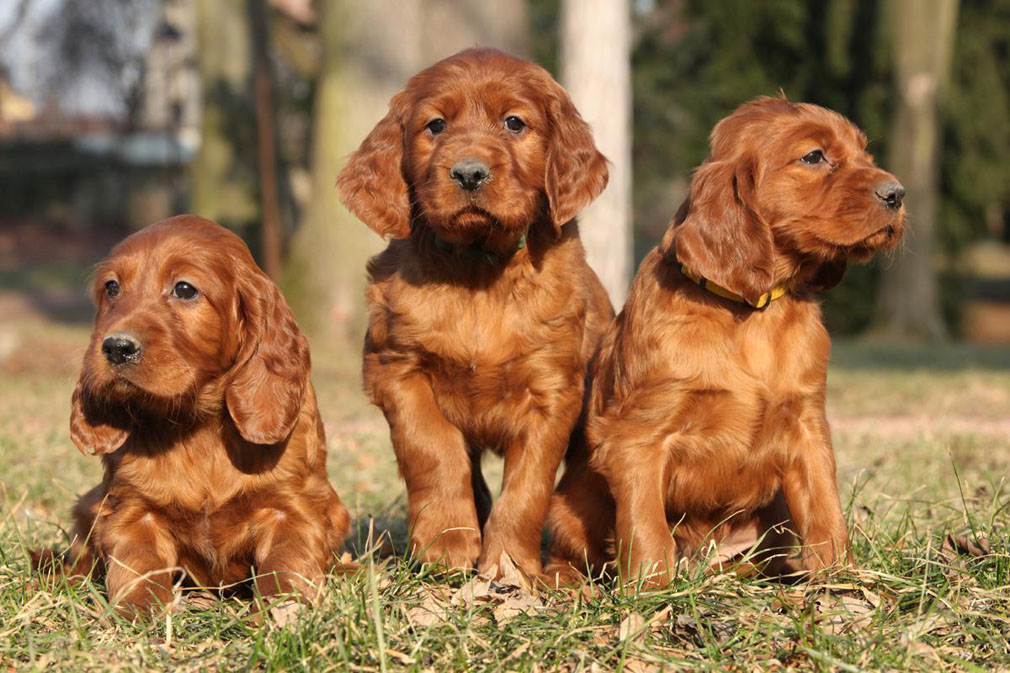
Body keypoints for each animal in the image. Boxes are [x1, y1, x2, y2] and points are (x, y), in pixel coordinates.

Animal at [33, 216, 351, 614]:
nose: (115, 347)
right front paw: (140, 612)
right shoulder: (132, 511)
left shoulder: (292, 507)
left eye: (184, 289)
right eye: (112, 288)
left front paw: (282, 611)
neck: (197, 423)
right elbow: (137, 566)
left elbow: (287, 564)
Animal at [337, 48, 614, 578]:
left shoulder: (552, 392)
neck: (478, 269)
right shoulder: (397, 370)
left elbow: (527, 486)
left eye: (514, 123)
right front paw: (446, 543)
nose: (469, 173)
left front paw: (508, 565)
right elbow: (433, 450)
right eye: (436, 125)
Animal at [545, 95, 909, 582]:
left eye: (864, 153)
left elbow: (825, 508)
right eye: (814, 157)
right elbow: (646, 524)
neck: (755, 311)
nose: (898, 194)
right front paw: (652, 590)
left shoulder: (807, 424)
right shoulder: (637, 437)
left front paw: (841, 578)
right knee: (568, 553)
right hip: (570, 505)